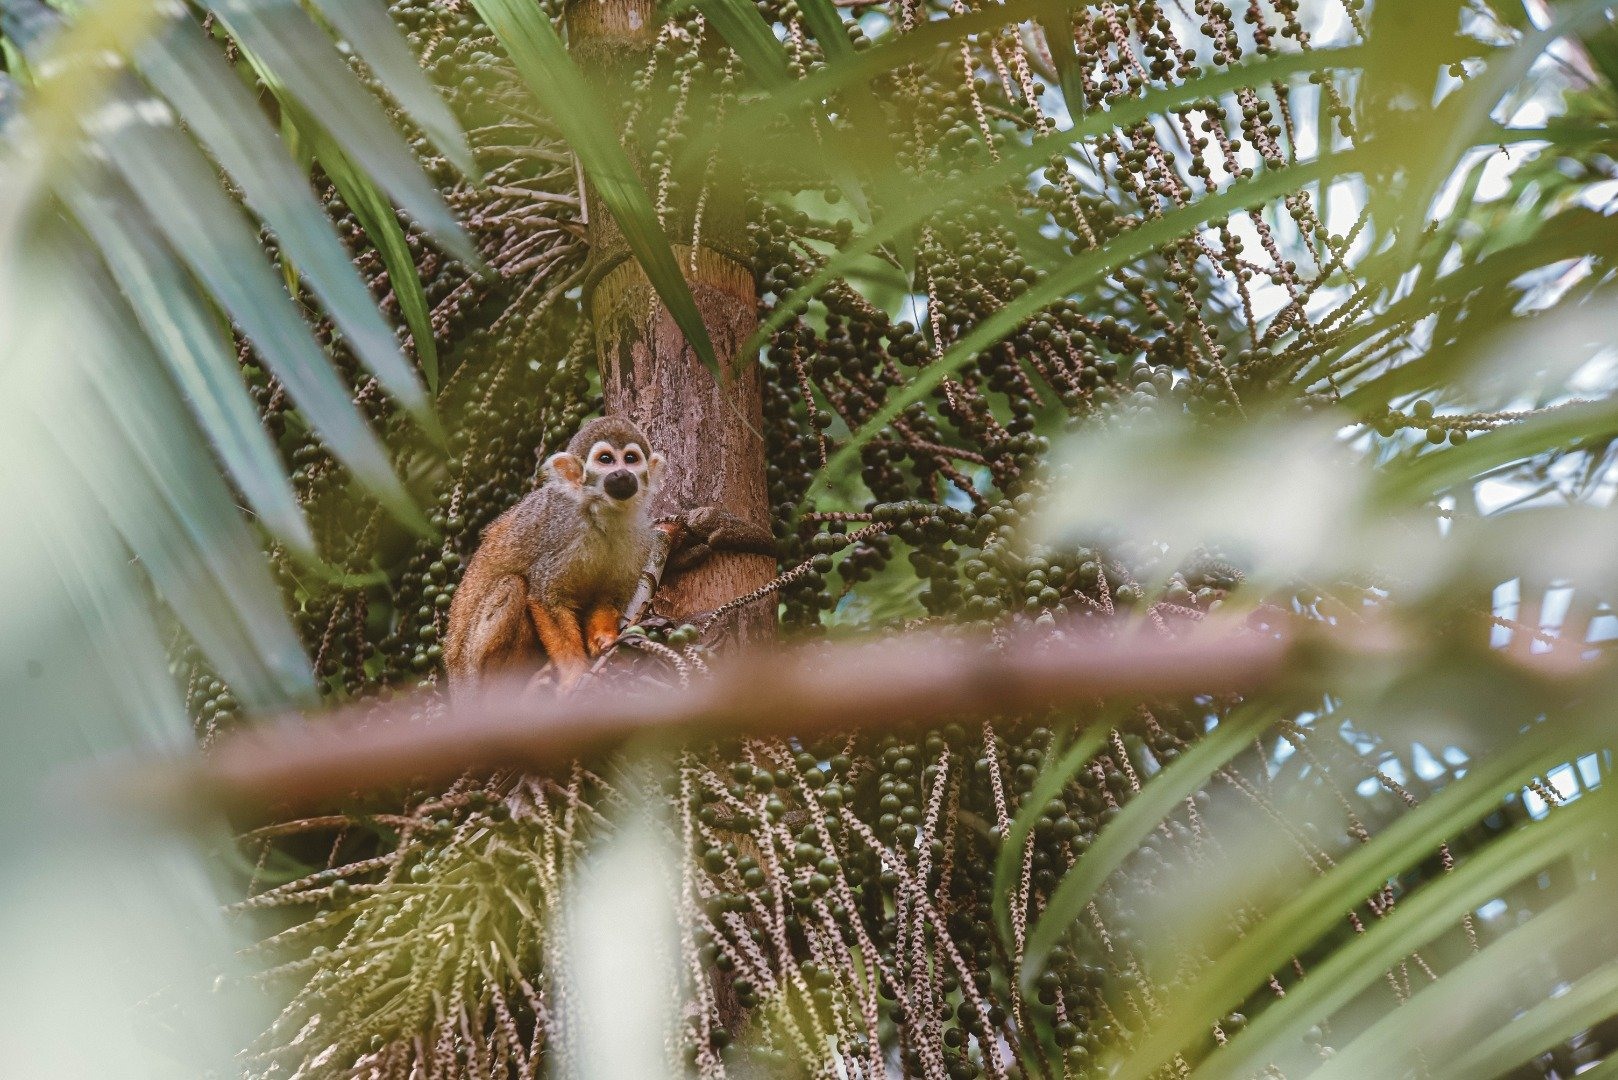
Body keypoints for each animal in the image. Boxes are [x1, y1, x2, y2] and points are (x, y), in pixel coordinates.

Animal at [443, 417, 663, 693]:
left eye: (631, 458)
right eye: (606, 459)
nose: (622, 473)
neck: (602, 515)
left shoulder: (641, 539)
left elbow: (608, 598)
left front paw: (604, 640)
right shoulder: (560, 531)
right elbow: (546, 599)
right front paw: (574, 675)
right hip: (472, 668)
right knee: (513, 586)